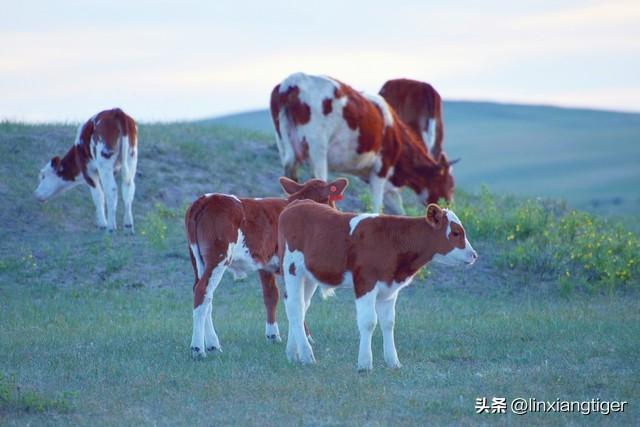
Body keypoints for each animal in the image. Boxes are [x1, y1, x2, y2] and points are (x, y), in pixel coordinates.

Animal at [182, 176, 348, 360]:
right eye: (329, 200)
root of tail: (205, 199)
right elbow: (299, 302)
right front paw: (306, 338)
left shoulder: (264, 264)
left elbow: (271, 296)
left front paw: (273, 335)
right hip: (218, 257)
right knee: (202, 291)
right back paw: (198, 348)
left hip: (198, 260)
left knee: (205, 295)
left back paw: (213, 344)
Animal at [268, 72, 456, 217]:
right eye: (450, 184)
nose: (449, 204)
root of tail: (291, 82)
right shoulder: (381, 169)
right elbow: (377, 207)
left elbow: (399, 210)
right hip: (317, 145)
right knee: (319, 177)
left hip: (283, 141)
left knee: (290, 171)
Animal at [278, 201, 478, 372]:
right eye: (455, 232)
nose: (474, 255)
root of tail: (296, 204)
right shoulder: (365, 282)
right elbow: (368, 322)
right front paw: (365, 363)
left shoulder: (389, 290)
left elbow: (389, 323)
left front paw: (393, 361)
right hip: (292, 269)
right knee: (295, 306)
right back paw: (306, 355)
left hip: (309, 276)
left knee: (300, 307)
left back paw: (293, 353)